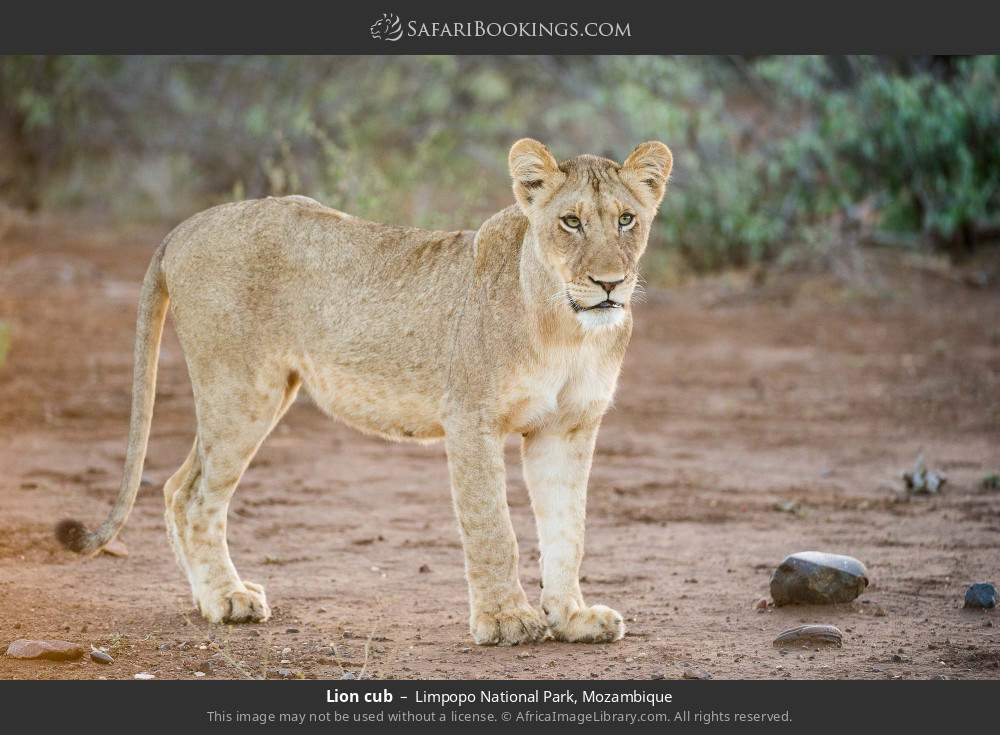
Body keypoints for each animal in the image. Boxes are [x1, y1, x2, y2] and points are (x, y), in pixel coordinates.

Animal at [56, 138, 673, 645]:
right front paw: (505, 621)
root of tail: (185, 226)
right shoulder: (471, 419)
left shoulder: (567, 428)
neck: (567, 330)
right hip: (241, 389)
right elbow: (492, 527)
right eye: (570, 222)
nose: (610, 283)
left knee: (176, 485)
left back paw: (210, 598)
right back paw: (226, 600)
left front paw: (572, 619)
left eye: (626, 220)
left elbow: (568, 529)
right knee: (191, 496)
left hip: (253, 393)